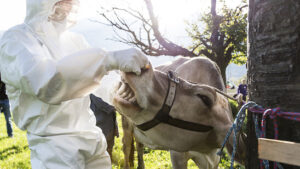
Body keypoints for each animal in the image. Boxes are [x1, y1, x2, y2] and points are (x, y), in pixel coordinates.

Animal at [111, 57, 245, 169]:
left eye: (205, 98)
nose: (142, 65)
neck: (206, 152)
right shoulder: (177, 154)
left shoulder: (214, 161)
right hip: (126, 122)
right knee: (126, 146)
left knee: (139, 145)